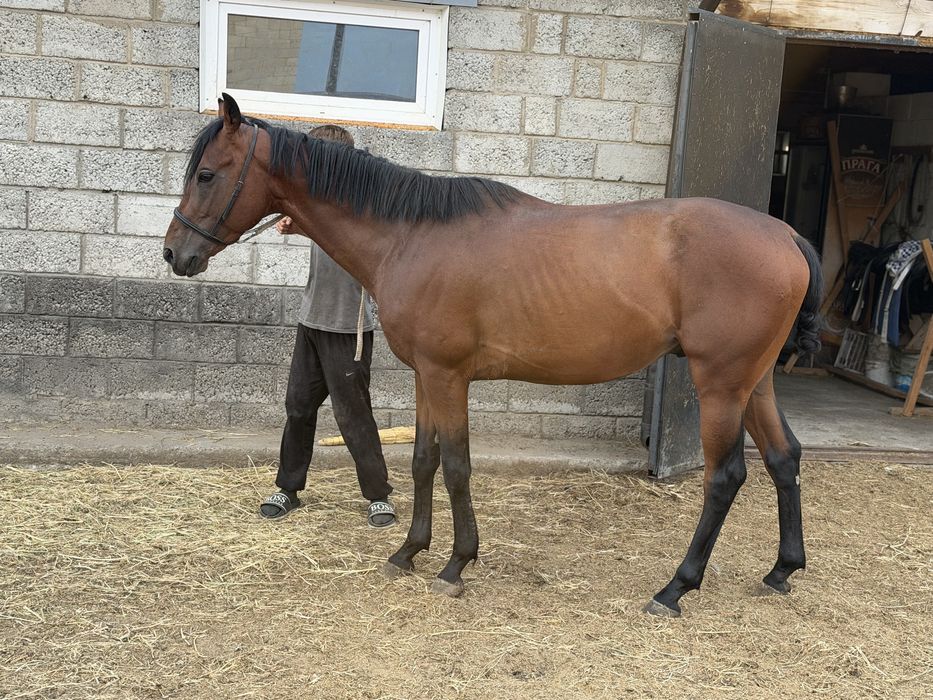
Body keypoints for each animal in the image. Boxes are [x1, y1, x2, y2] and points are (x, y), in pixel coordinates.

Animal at [163, 94, 822, 617]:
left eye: (207, 174)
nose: (174, 254)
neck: (412, 234)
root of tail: (785, 235)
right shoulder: (427, 378)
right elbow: (423, 461)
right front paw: (409, 551)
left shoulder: (449, 377)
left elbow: (456, 465)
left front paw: (456, 564)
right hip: (754, 383)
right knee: (783, 457)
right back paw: (781, 570)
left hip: (720, 386)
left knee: (725, 477)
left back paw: (675, 588)